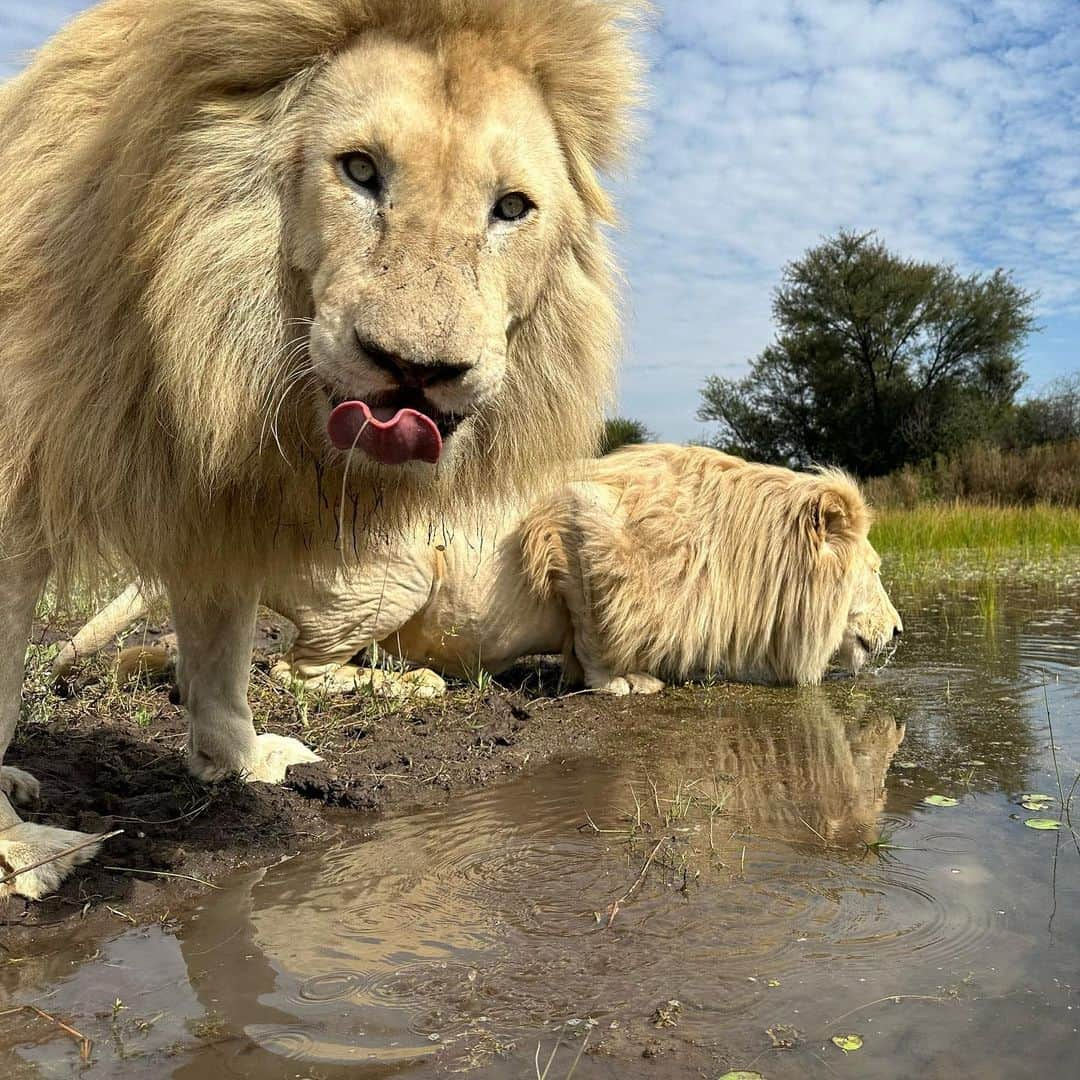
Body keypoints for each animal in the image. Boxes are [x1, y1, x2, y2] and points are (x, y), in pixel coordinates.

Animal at [0, 0, 639, 894]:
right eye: (360, 170)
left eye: (512, 208)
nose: (417, 372)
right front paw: (24, 853)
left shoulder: (215, 497)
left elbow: (221, 650)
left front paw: (238, 760)